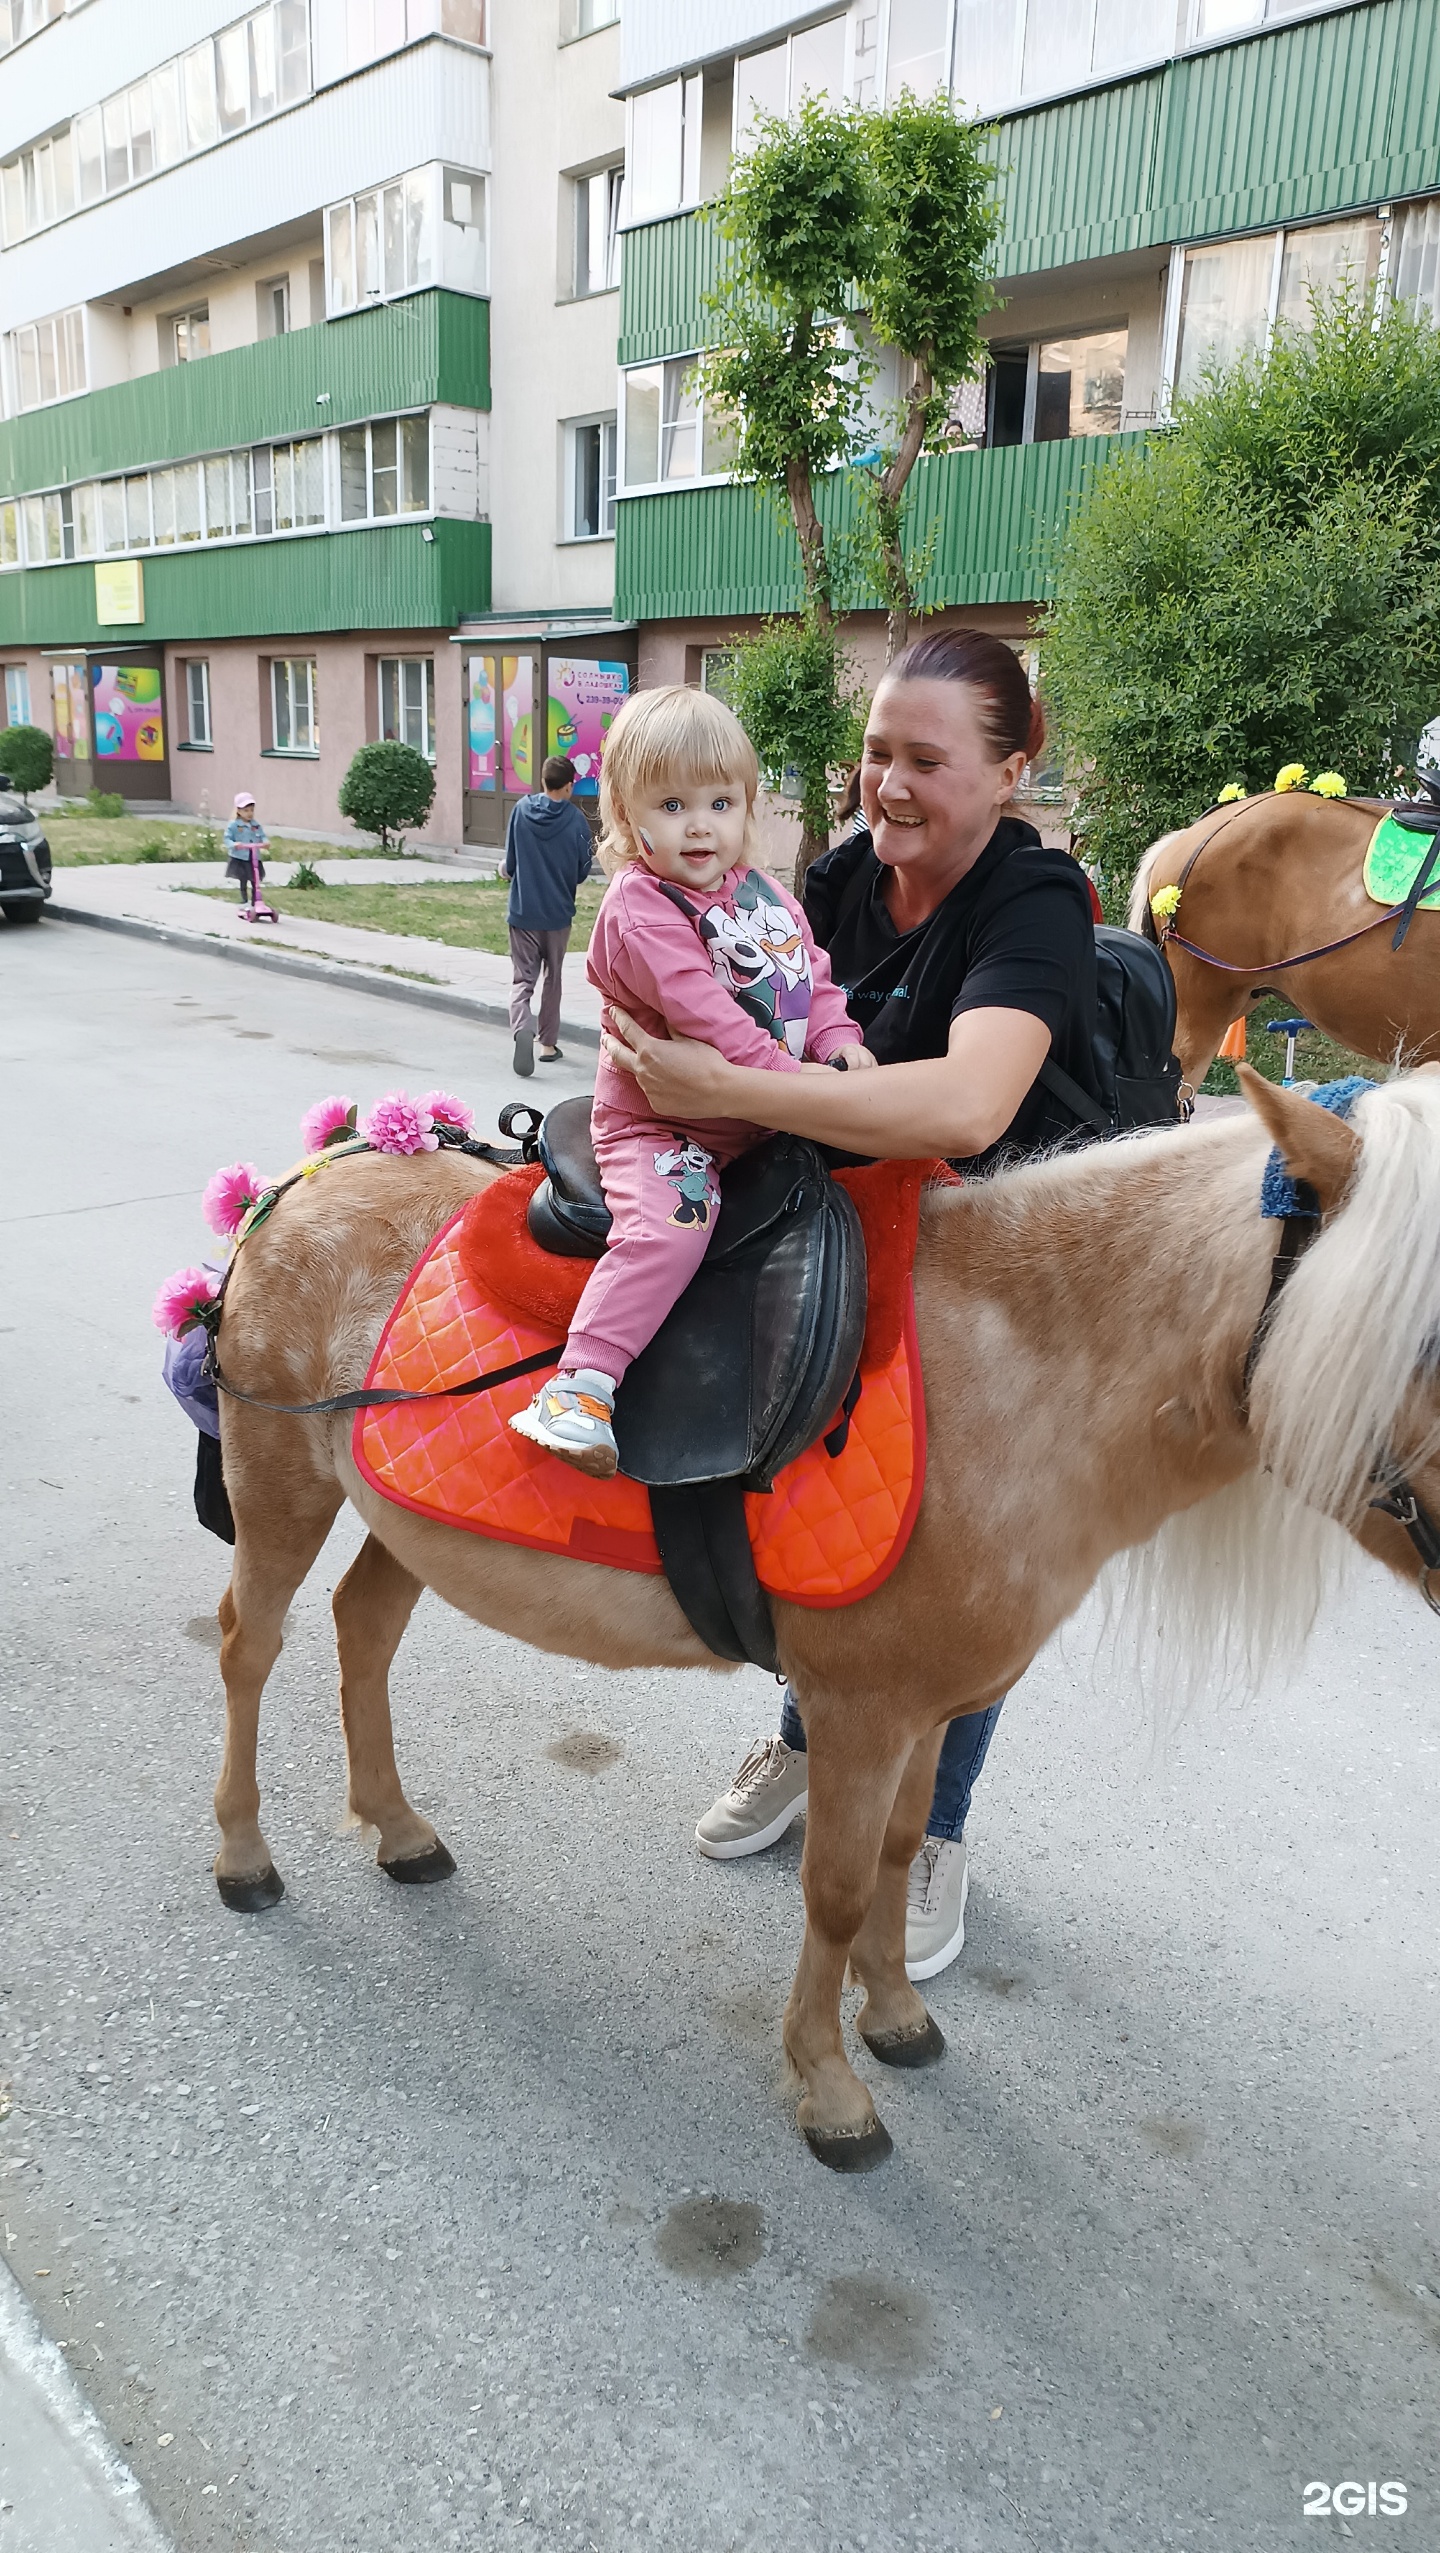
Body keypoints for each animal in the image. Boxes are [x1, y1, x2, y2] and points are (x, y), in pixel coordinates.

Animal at [208, 1067, 1440, 2164]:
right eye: (1420, 1333)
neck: (1017, 1374)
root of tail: (321, 1169)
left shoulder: (931, 1711)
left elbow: (898, 1852)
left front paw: (893, 2016)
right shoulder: (860, 1709)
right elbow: (838, 1891)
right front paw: (830, 2086)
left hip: (397, 1513)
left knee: (364, 1627)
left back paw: (397, 1828)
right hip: (280, 1484)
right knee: (250, 1646)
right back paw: (244, 1855)